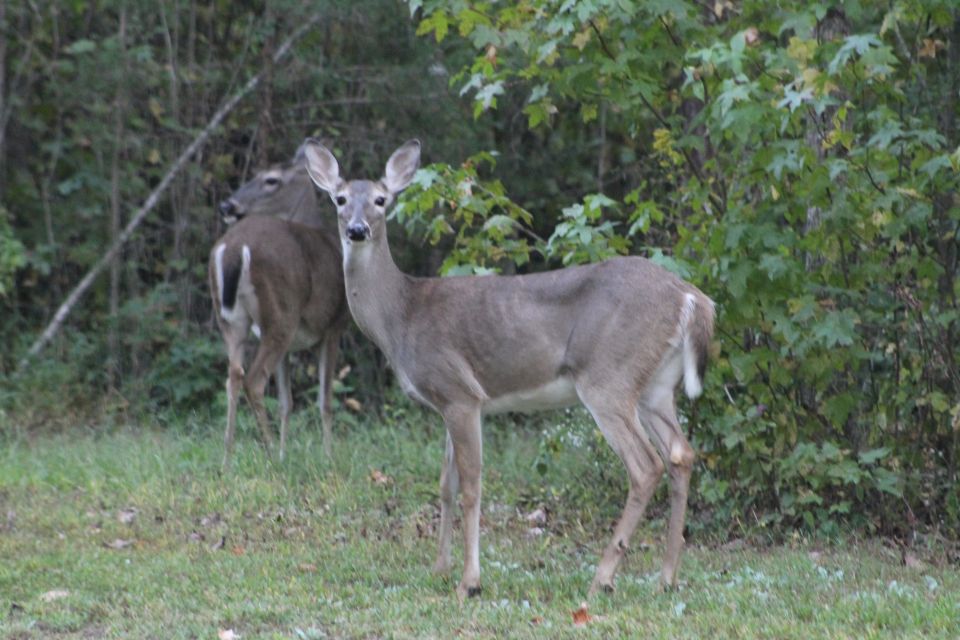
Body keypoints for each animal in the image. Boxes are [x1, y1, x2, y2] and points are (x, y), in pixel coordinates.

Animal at [209, 144, 348, 469]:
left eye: (270, 179)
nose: (227, 206)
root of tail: (233, 249)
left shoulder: (292, 344)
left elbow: (287, 403)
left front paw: (288, 452)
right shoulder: (333, 326)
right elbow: (324, 401)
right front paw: (327, 457)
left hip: (233, 321)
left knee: (233, 376)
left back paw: (227, 458)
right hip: (280, 313)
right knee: (254, 381)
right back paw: (270, 454)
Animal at [301, 138, 716, 600]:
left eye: (380, 199)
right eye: (339, 199)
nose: (357, 230)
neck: (402, 316)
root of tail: (692, 298)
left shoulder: (461, 392)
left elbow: (471, 485)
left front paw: (469, 581)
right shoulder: (447, 403)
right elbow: (444, 485)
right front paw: (439, 569)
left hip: (609, 376)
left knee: (645, 466)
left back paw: (603, 578)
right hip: (656, 386)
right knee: (681, 454)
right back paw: (666, 577)